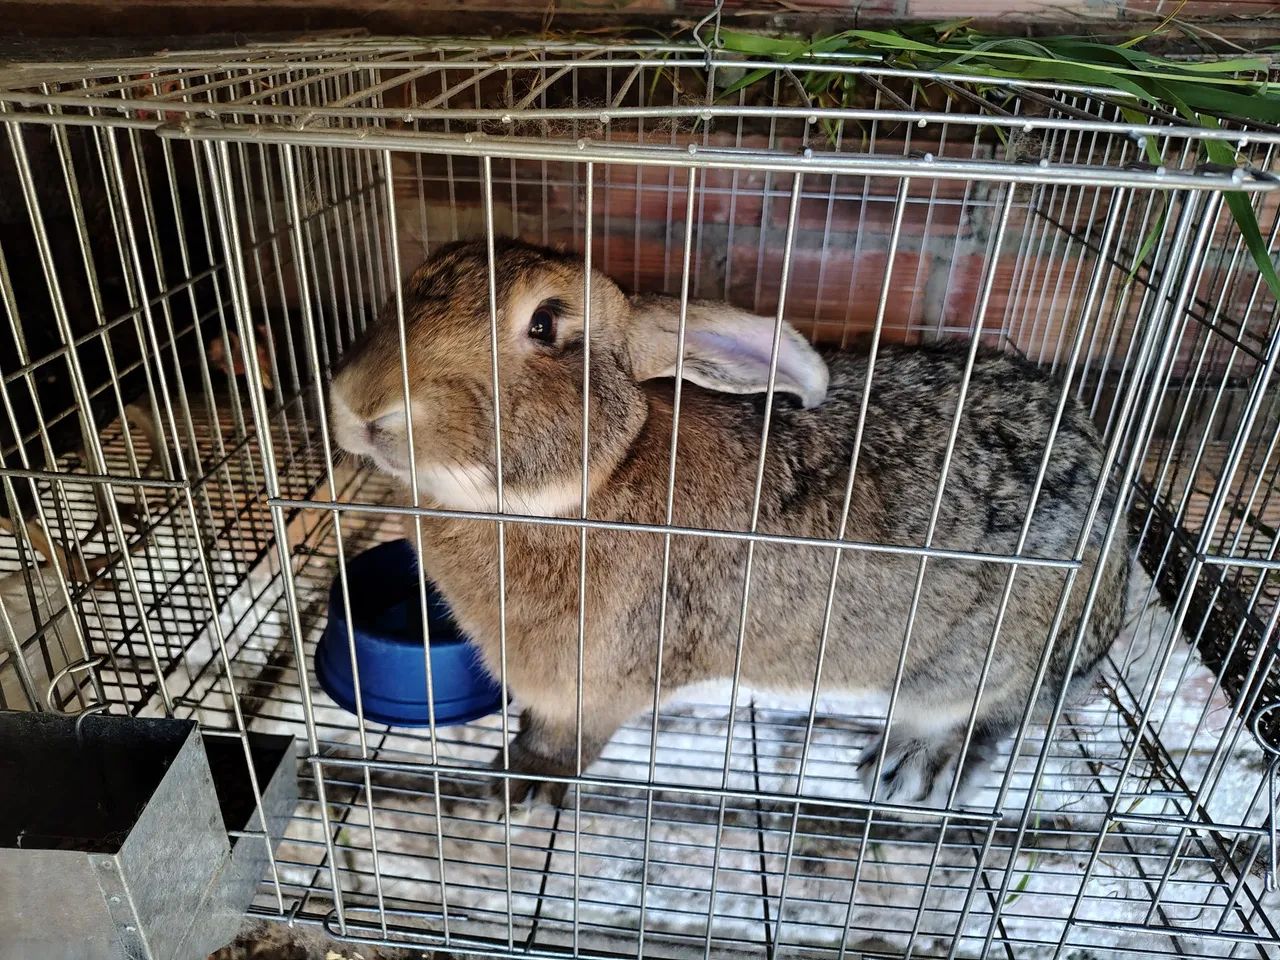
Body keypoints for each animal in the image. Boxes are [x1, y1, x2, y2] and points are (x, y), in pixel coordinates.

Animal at [328, 237, 1132, 810]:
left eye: (546, 323)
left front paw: (517, 786)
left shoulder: (600, 681)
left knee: (997, 713)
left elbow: (565, 739)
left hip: (983, 659)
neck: (590, 482)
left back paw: (911, 765)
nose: (359, 405)